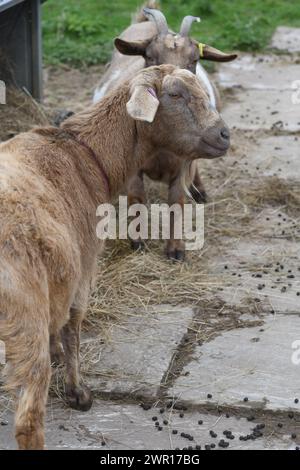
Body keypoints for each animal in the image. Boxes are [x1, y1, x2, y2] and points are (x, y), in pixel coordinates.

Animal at [0, 65, 230, 448]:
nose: (225, 134)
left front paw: (58, 356)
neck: (87, 155)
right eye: (175, 95)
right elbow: (73, 329)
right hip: (24, 312)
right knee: (28, 418)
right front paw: (78, 393)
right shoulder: (83, 268)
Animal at [94, 5, 237, 258]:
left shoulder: (183, 165)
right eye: (150, 56)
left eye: (195, 60)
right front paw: (138, 241)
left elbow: (177, 203)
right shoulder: (134, 166)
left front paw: (175, 249)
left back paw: (200, 191)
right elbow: (137, 199)